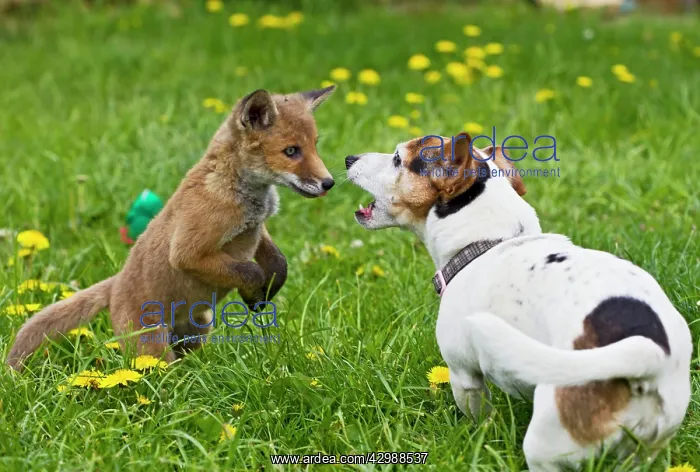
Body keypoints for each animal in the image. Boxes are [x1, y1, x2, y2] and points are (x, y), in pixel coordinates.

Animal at [7, 85, 337, 371]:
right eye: (291, 151)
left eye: (314, 146)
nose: (329, 182)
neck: (236, 190)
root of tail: (115, 284)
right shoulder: (187, 251)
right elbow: (249, 270)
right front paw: (254, 297)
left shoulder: (256, 228)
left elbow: (278, 261)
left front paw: (270, 287)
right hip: (153, 346)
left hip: (197, 330)